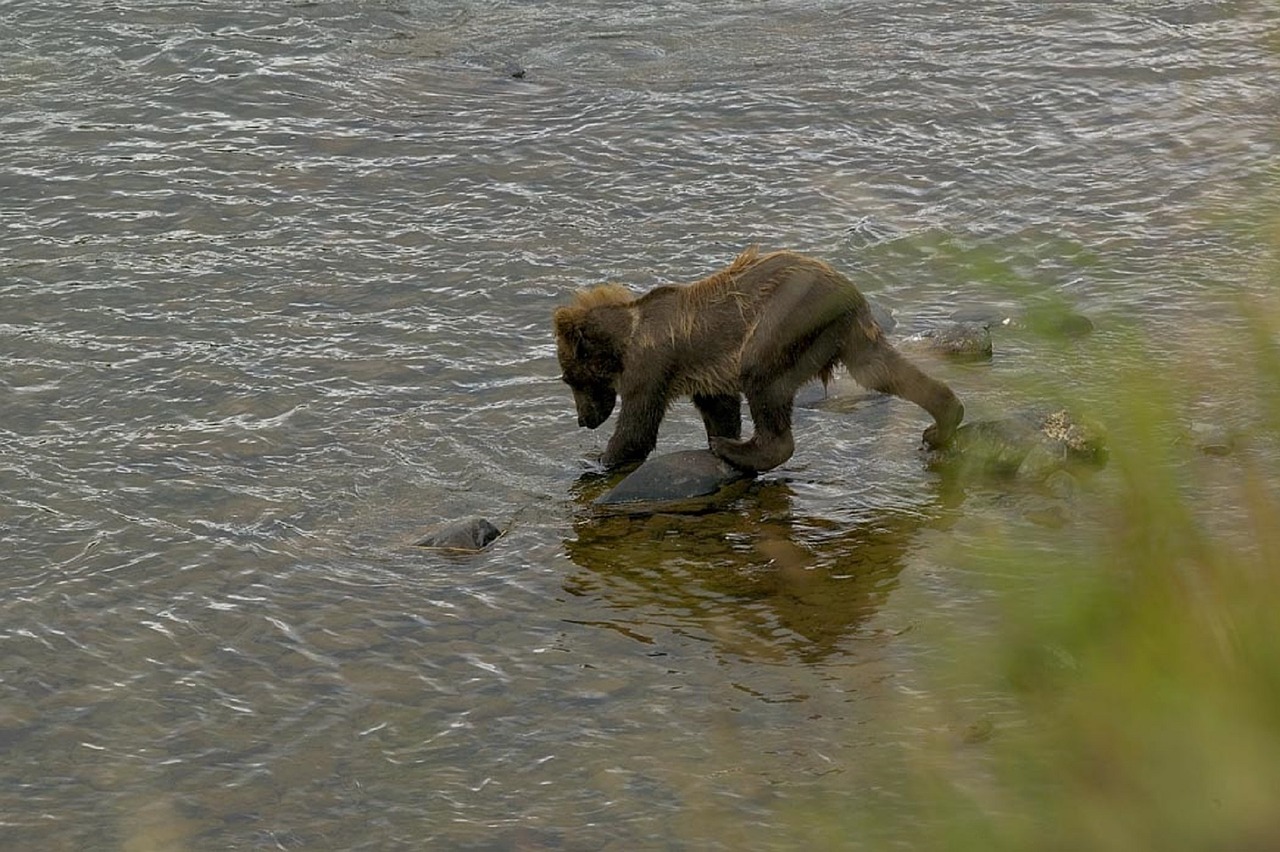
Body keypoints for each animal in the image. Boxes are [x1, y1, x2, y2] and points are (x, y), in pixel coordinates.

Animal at [550, 245, 962, 470]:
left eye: (570, 378)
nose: (583, 419)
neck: (625, 340)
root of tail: (849, 294)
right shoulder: (705, 373)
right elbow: (720, 408)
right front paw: (719, 434)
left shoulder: (651, 366)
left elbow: (637, 426)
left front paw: (598, 459)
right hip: (845, 335)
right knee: (879, 370)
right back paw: (944, 419)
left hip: (785, 318)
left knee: (762, 376)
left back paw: (741, 450)